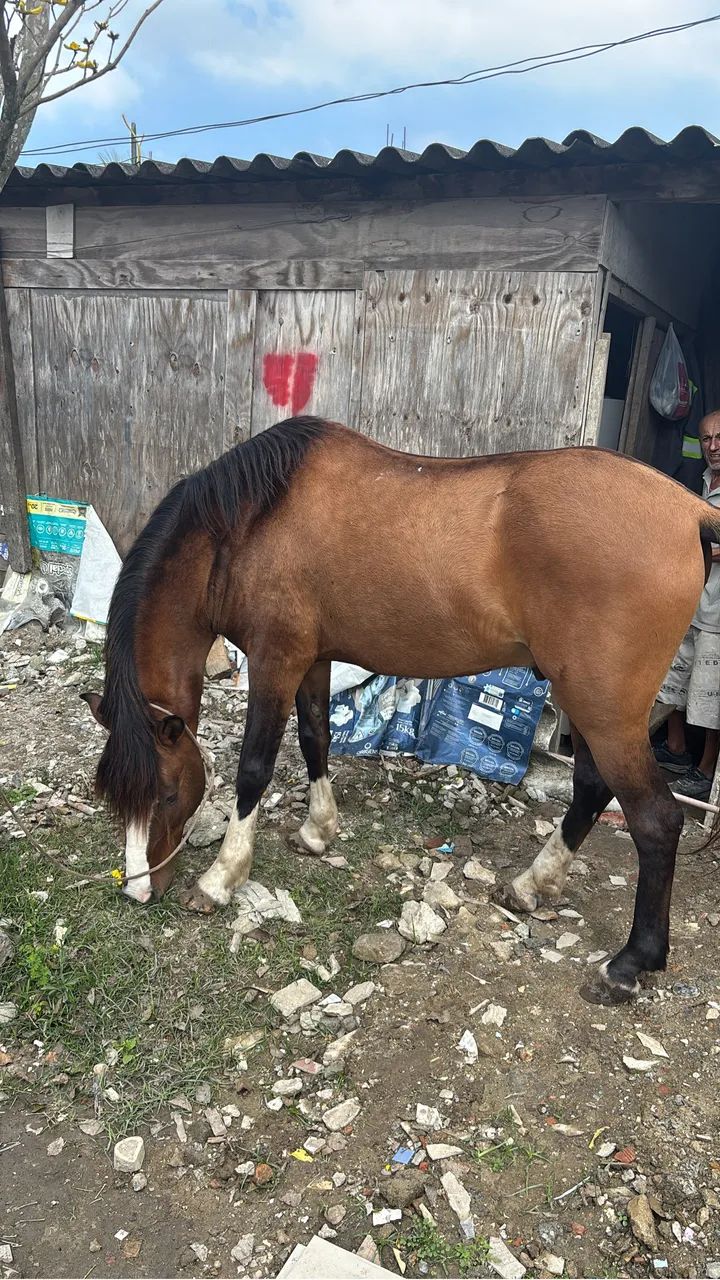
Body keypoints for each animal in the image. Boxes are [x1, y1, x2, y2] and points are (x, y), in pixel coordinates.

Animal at [82, 414, 720, 1005]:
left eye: (168, 795)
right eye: (115, 798)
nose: (137, 889)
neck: (248, 524)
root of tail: (688, 510)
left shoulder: (274, 661)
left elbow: (253, 770)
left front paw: (220, 878)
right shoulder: (313, 659)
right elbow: (316, 738)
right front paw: (317, 831)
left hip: (603, 708)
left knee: (656, 820)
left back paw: (630, 962)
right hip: (583, 700)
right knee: (590, 788)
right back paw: (530, 886)